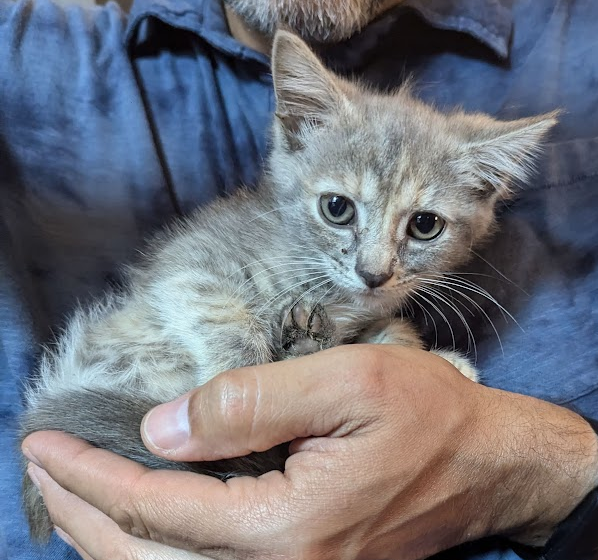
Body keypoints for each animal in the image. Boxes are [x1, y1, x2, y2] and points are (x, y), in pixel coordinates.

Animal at [21, 30, 560, 544]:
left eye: (425, 225)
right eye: (337, 208)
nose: (374, 273)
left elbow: (389, 330)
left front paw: (432, 358)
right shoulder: (187, 264)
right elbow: (216, 310)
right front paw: (233, 378)